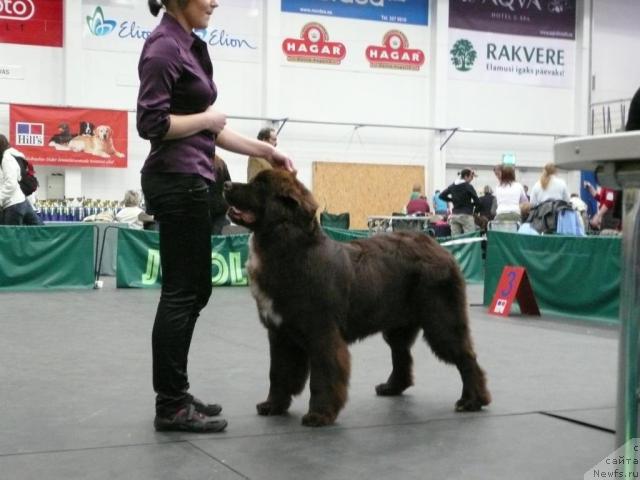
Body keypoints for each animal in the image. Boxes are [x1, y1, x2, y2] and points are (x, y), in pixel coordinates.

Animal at [224, 171, 490, 426]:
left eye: (260, 186)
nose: (226, 185)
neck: (289, 249)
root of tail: (439, 248)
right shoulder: (279, 333)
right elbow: (278, 372)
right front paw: (273, 405)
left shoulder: (322, 333)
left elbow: (323, 375)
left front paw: (319, 415)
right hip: (398, 324)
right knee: (402, 354)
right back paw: (392, 387)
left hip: (442, 320)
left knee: (466, 357)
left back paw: (472, 401)